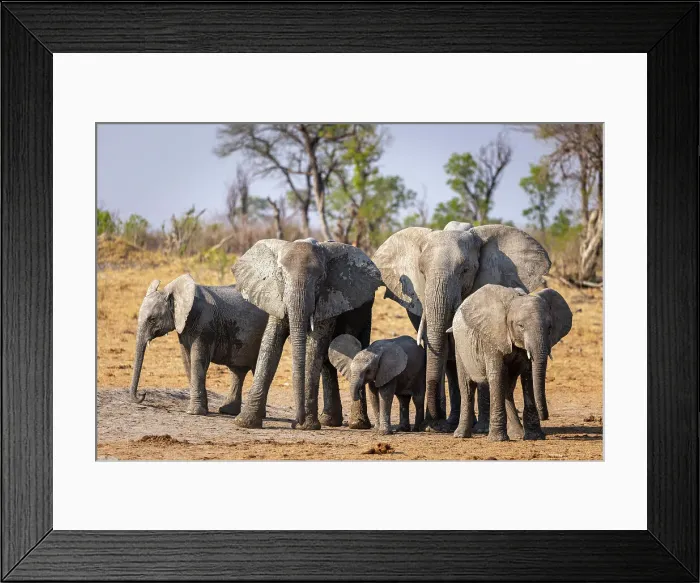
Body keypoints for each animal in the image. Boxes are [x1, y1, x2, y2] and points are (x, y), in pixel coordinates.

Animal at [129, 274, 268, 416]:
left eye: (152, 319)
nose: (143, 394)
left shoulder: (204, 324)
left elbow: (198, 359)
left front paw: (193, 412)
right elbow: (187, 359)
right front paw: (203, 410)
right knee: (237, 371)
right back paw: (228, 411)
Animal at [231, 238, 382, 430]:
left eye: (321, 279)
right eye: (280, 275)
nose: (297, 421)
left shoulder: (327, 299)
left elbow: (315, 345)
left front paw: (307, 426)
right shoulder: (276, 296)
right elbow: (270, 344)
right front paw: (245, 423)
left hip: (364, 310)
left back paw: (357, 424)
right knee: (328, 359)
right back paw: (329, 421)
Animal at [372, 223, 552, 432]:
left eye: (465, 270)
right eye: (422, 272)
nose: (432, 421)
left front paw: (481, 428)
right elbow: (442, 351)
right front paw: (437, 426)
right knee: (450, 362)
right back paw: (451, 421)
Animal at [449, 284, 572, 441]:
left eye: (550, 327)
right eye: (520, 326)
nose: (545, 416)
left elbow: (528, 376)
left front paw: (535, 436)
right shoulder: (492, 339)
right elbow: (496, 374)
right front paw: (497, 440)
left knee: (507, 388)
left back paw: (518, 434)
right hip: (460, 347)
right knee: (467, 386)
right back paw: (461, 435)